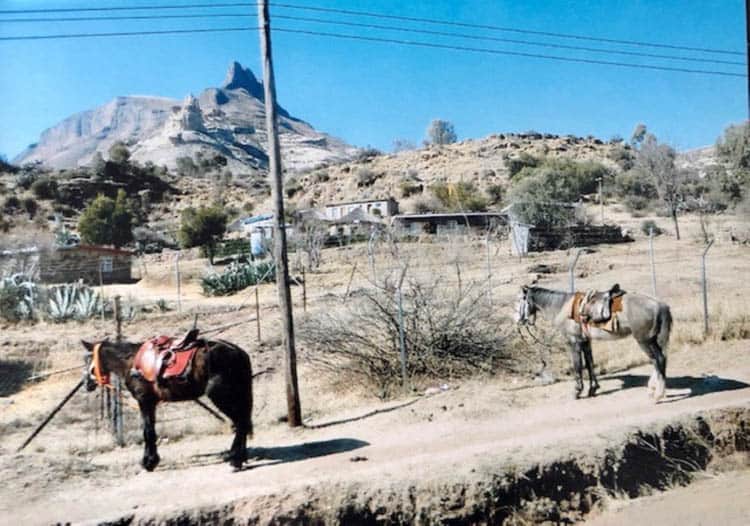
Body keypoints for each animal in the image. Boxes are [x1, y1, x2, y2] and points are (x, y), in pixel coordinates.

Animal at [81, 340, 254, 472]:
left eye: (89, 360)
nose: (86, 383)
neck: (131, 363)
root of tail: (238, 352)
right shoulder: (151, 404)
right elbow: (151, 430)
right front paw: (152, 459)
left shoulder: (144, 401)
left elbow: (148, 432)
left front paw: (148, 462)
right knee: (243, 423)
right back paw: (241, 457)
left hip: (221, 397)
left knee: (240, 423)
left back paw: (235, 460)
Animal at [516, 286, 676, 402]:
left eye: (519, 302)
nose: (518, 320)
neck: (563, 307)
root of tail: (660, 305)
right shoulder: (586, 342)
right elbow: (590, 364)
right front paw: (593, 389)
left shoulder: (574, 342)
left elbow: (578, 366)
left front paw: (577, 391)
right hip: (652, 340)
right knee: (659, 360)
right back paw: (653, 389)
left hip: (644, 340)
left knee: (658, 359)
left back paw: (657, 394)